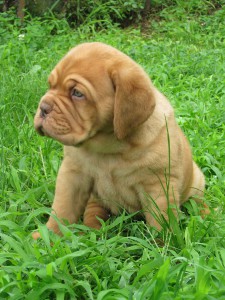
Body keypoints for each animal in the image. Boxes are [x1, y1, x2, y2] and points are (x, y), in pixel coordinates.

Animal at [32, 42, 208, 239]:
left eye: (77, 93)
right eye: (50, 85)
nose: (43, 108)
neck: (109, 146)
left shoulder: (158, 186)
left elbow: (161, 222)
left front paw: (163, 244)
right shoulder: (73, 174)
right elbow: (62, 209)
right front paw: (48, 236)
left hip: (196, 180)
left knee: (198, 200)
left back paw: (207, 215)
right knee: (93, 208)